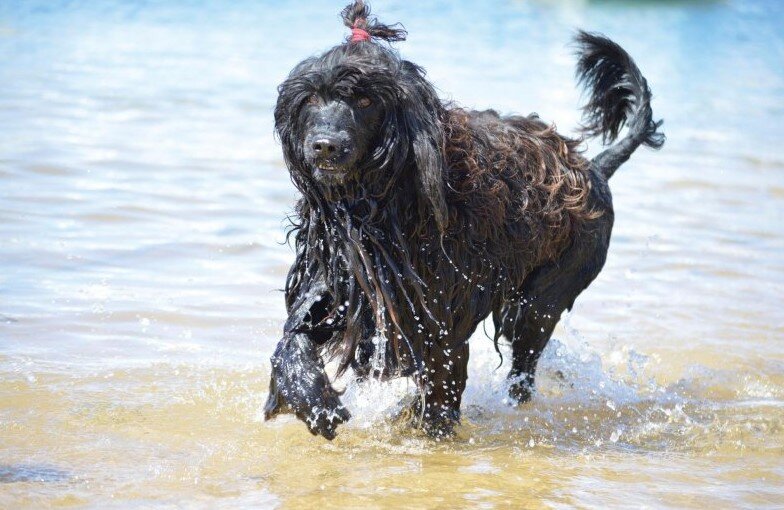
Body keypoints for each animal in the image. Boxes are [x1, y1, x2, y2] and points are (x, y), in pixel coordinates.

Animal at [262, 0, 660, 438]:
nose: (326, 146)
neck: (380, 203)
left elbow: (441, 391)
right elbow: (293, 337)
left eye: (365, 101)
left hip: (543, 299)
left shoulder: (439, 320)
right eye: (309, 99)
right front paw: (311, 398)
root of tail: (594, 169)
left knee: (524, 368)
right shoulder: (340, 282)